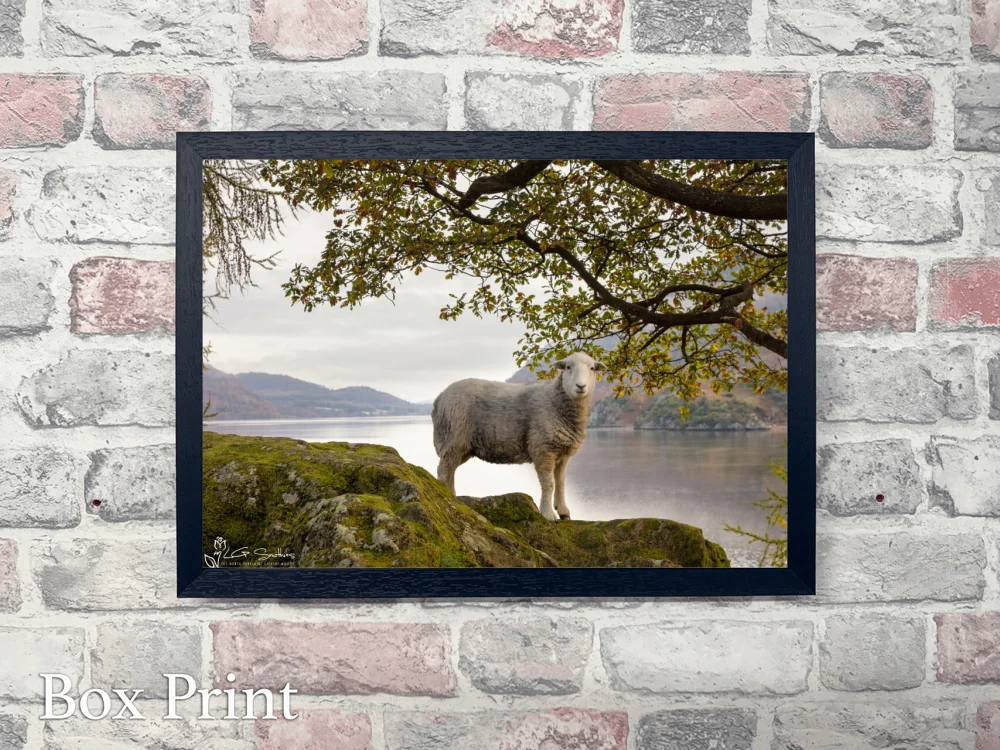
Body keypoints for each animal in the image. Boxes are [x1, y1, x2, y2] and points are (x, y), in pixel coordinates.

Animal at [431, 351, 606, 521]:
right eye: (568, 367)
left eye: (592, 368)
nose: (581, 386)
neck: (555, 401)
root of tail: (440, 397)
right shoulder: (542, 448)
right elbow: (549, 483)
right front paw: (548, 514)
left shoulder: (563, 453)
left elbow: (561, 483)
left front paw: (563, 511)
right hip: (453, 438)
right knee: (444, 470)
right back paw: (447, 497)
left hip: (463, 446)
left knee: (451, 471)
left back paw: (454, 498)